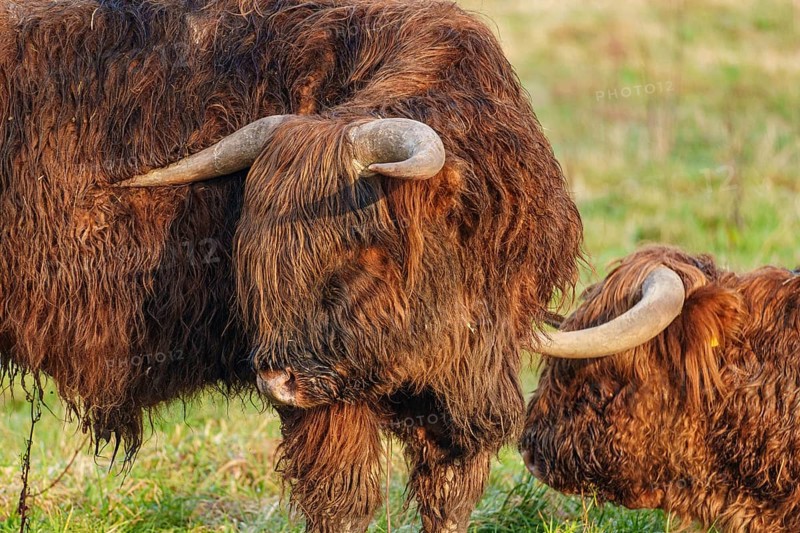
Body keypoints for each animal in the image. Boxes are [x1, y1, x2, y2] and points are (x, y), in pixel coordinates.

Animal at [0, 0, 583, 531]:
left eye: (363, 245)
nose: (277, 380)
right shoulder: (335, 401)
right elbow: (344, 497)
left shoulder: (458, 390)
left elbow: (448, 495)